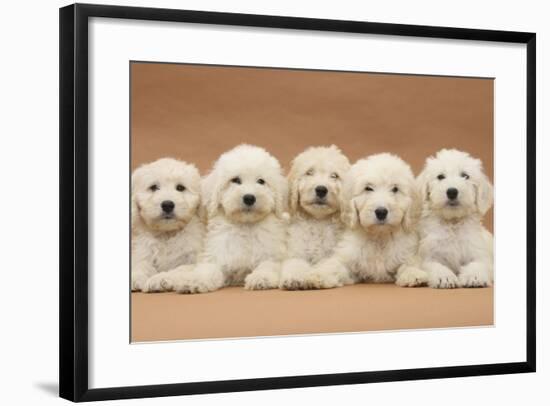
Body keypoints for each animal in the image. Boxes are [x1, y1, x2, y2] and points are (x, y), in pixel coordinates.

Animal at [131, 159, 205, 292]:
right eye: (154, 187)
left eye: (180, 188)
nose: (167, 205)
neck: (167, 234)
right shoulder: (144, 252)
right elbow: (141, 264)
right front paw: (136, 276)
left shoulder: (193, 259)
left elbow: (180, 269)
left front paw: (159, 278)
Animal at [170, 144, 286, 294]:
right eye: (235, 180)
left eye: (261, 181)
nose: (249, 198)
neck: (245, 226)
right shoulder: (217, 255)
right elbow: (207, 270)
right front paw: (193, 281)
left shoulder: (272, 254)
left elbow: (267, 265)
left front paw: (261, 278)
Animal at [278, 145, 352, 288]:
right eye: (309, 172)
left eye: (334, 176)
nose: (321, 189)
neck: (319, 221)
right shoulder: (296, 252)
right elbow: (295, 264)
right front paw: (295, 278)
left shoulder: (338, 256)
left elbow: (330, 266)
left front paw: (317, 277)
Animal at [308, 153, 430, 288]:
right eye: (368, 188)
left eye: (395, 189)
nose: (381, 212)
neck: (379, 236)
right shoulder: (348, 256)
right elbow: (335, 265)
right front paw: (320, 275)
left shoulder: (407, 251)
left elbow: (410, 262)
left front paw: (413, 274)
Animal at [418, 150, 496, 288]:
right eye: (440, 176)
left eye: (465, 176)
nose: (452, 192)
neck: (453, 222)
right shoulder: (428, 255)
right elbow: (435, 265)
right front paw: (444, 277)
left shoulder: (479, 252)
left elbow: (479, 264)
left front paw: (473, 277)